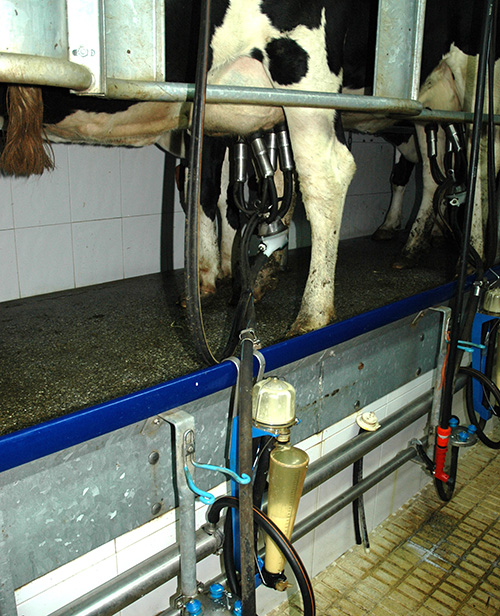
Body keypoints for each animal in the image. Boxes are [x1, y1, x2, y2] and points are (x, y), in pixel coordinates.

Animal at [0, 0, 497, 337]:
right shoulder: (203, 119)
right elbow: (209, 192)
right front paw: (216, 275)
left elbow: (207, 193)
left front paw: (212, 278)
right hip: (426, 105)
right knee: (435, 170)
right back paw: (412, 248)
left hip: (321, 75)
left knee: (341, 172)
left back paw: (319, 310)